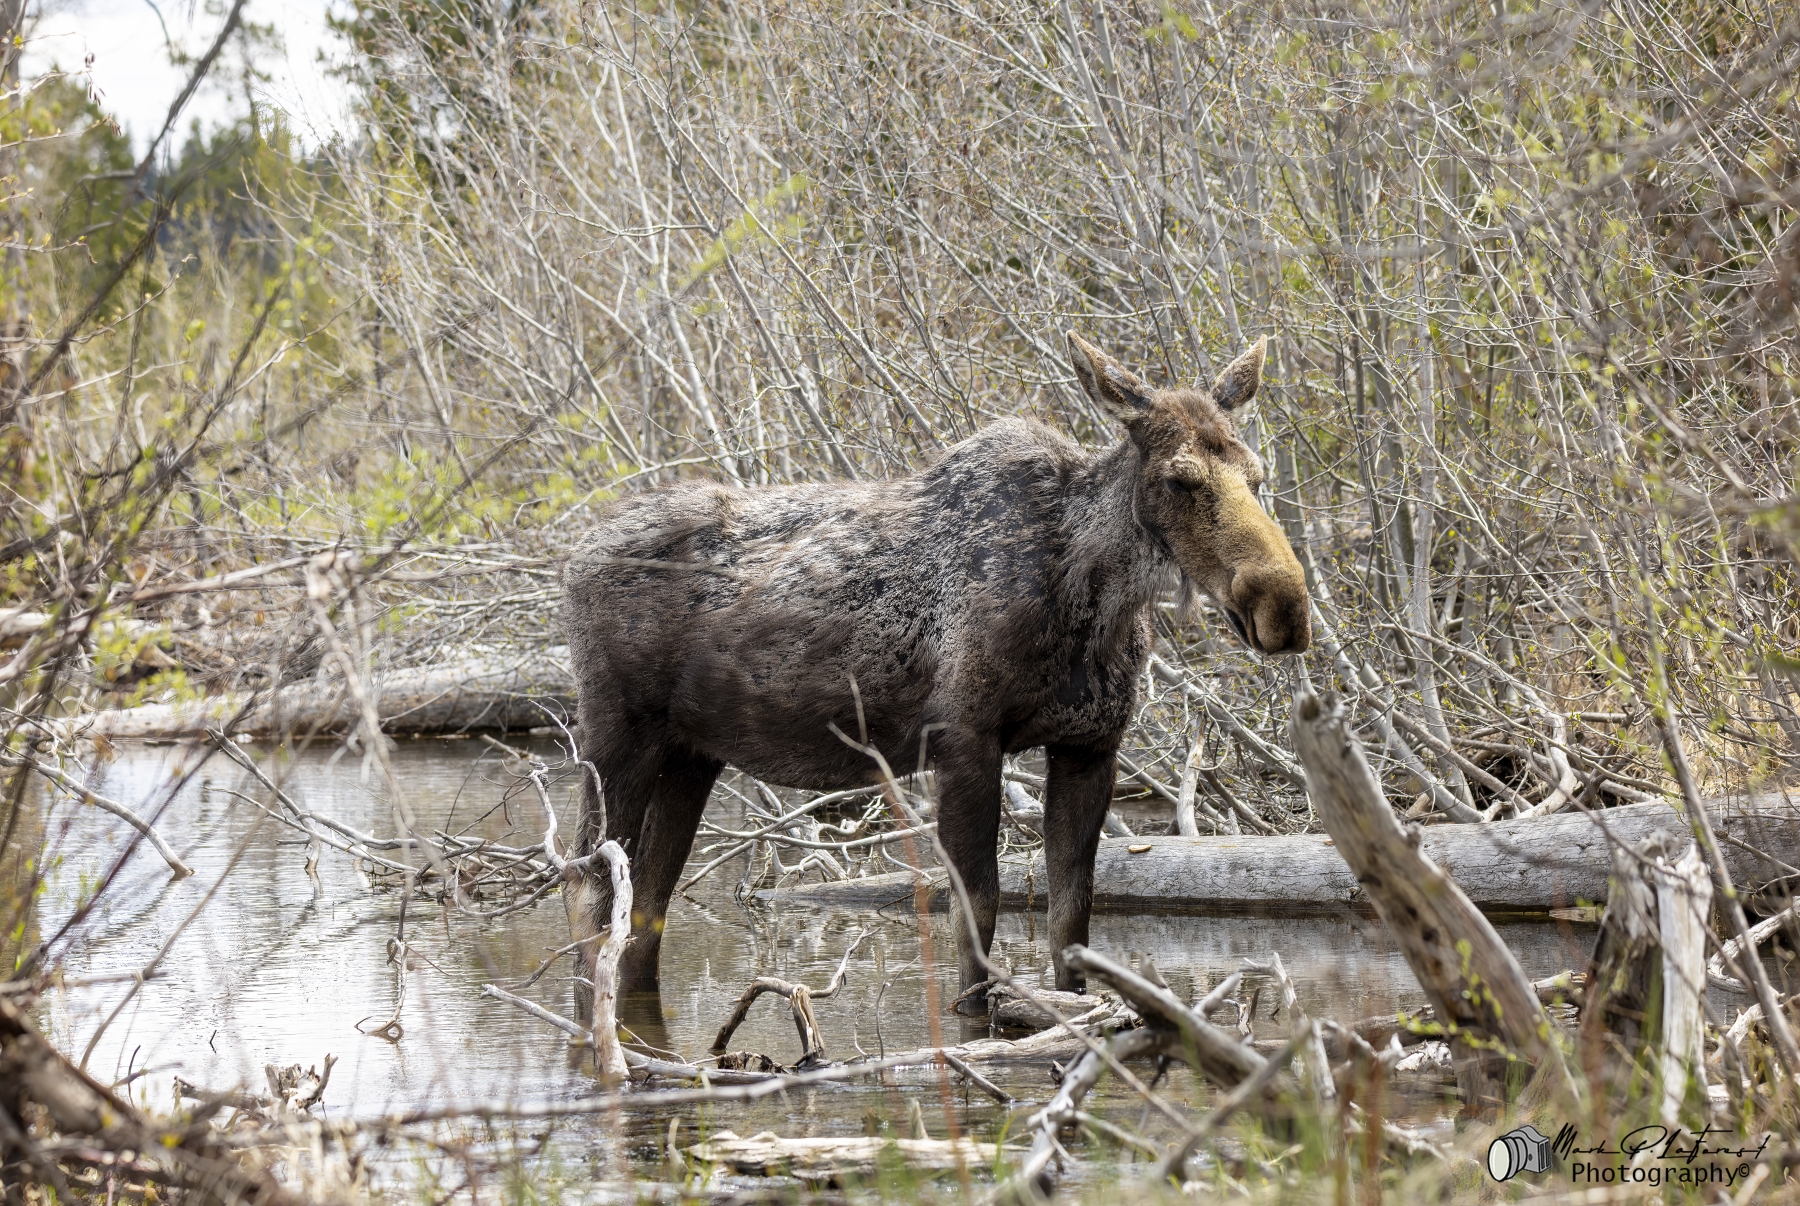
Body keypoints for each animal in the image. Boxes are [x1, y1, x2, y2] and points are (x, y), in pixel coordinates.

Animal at [560, 332, 1309, 1008]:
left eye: (1258, 476)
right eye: (1180, 479)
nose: (1285, 604)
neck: (1092, 598)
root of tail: (571, 558)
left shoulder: (1091, 744)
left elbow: (1072, 917)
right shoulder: (966, 737)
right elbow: (977, 915)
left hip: (692, 752)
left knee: (647, 905)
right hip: (615, 731)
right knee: (587, 886)